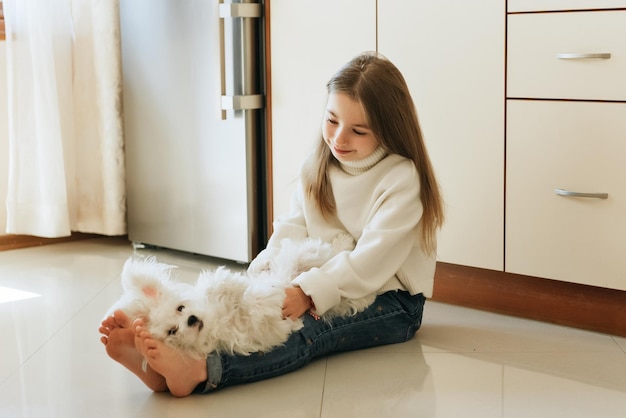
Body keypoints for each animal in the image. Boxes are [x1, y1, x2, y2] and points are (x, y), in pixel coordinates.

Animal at [104, 235, 372, 360]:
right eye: (172, 331)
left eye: (181, 308)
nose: (191, 320)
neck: (215, 319)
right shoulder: (247, 335)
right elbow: (256, 311)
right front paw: (261, 299)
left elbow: (222, 283)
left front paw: (234, 287)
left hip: (306, 255)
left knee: (330, 256)